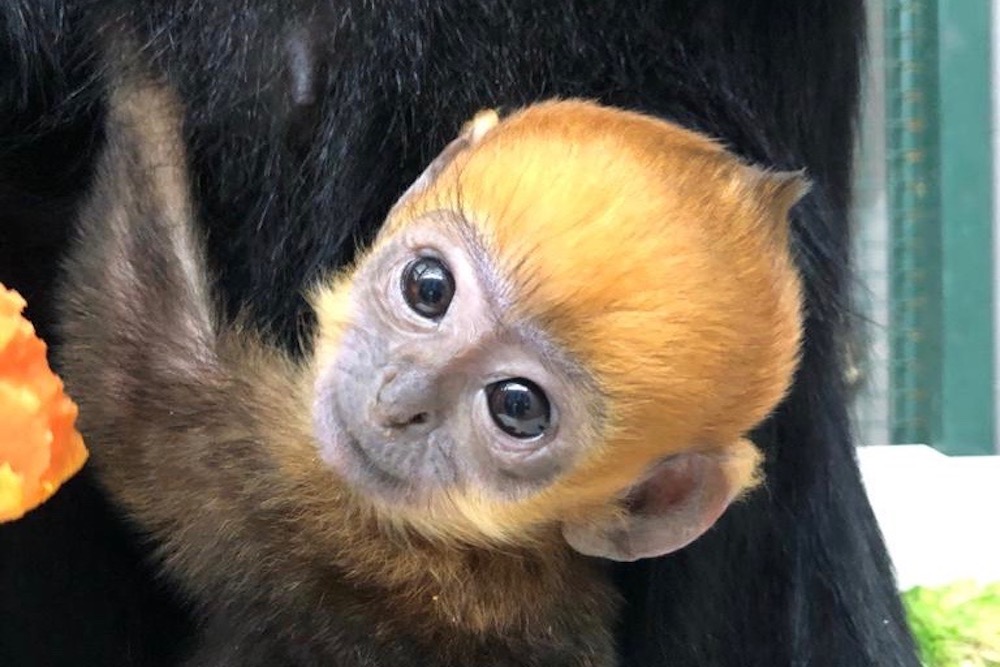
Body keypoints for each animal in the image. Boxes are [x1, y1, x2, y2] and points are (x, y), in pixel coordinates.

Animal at [58, 70, 804, 664]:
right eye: (428, 287)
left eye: (518, 406)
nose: (401, 400)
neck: (492, 544)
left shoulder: (297, 496)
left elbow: (137, 370)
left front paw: (133, 63)